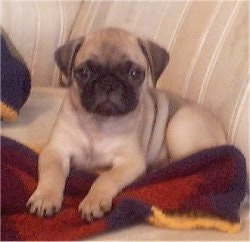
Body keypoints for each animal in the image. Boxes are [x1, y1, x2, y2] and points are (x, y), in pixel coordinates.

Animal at [26, 27, 226, 220]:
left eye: (135, 73)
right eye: (83, 72)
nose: (109, 83)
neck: (99, 122)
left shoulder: (129, 161)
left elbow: (107, 178)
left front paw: (94, 201)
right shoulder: (55, 151)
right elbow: (52, 173)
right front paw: (45, 197)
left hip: (180, 126)